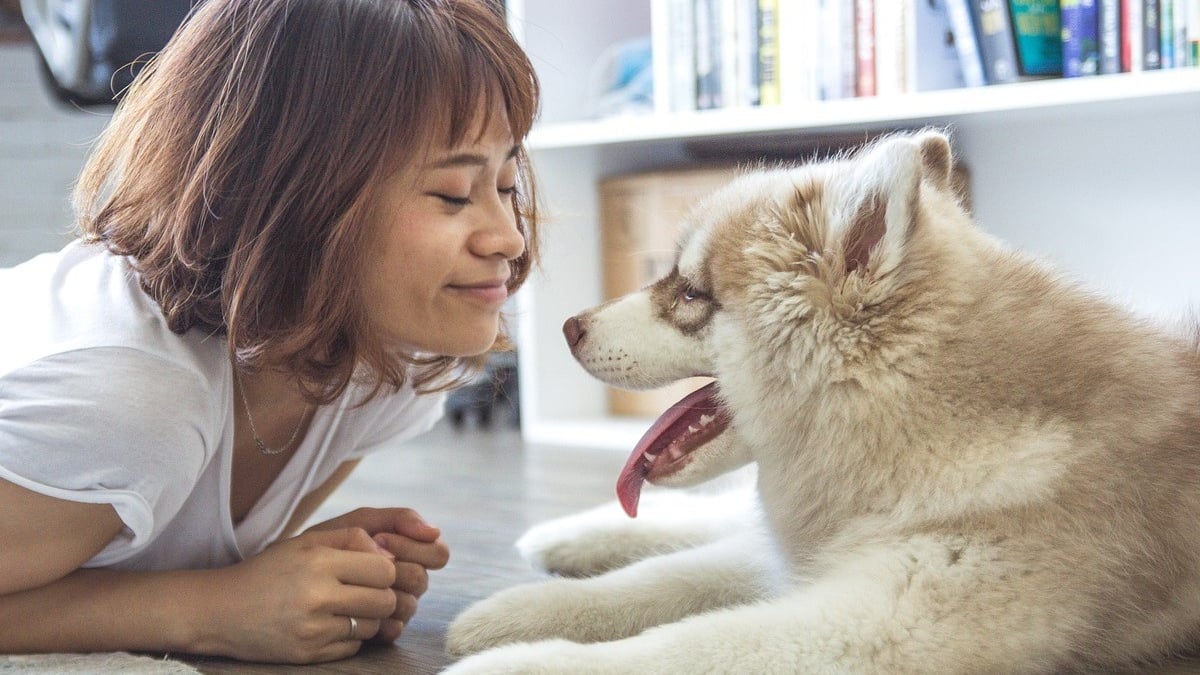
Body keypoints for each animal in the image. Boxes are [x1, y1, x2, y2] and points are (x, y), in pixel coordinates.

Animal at [446, 128, 1200, 667]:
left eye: (689, 292)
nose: (568, 327)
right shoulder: (816, 561)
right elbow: (657, 582)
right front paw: (512, 613)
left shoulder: (889, 620)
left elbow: (684, 642)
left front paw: (519, 661)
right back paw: (567, 536)